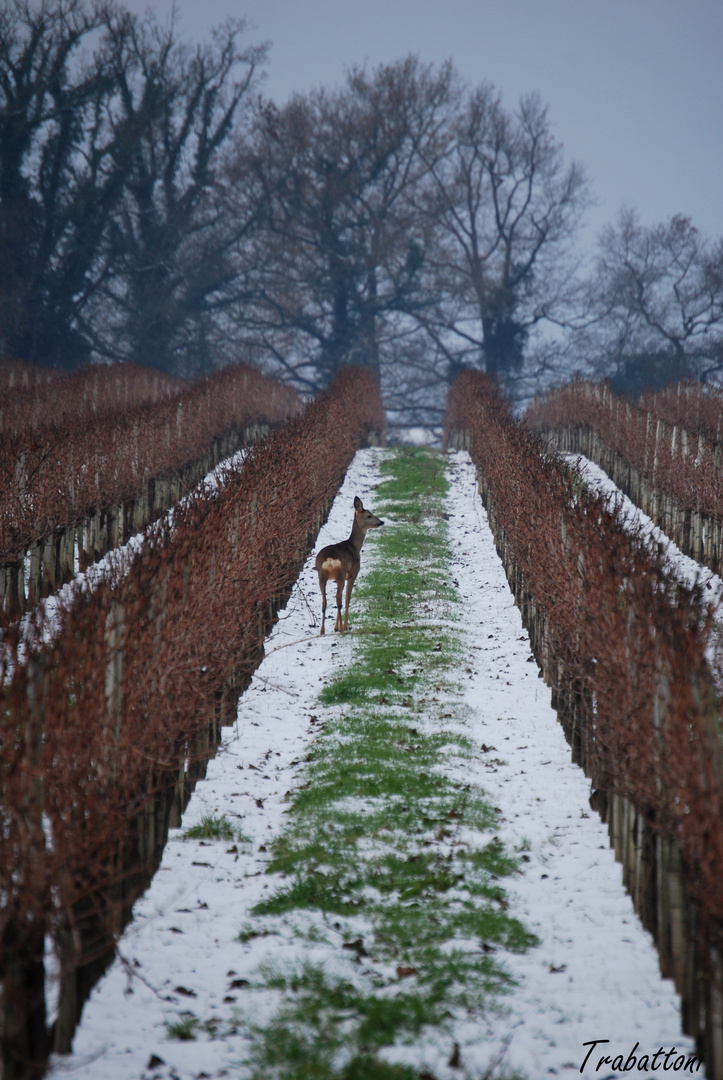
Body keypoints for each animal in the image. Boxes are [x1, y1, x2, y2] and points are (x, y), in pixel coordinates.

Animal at [315, 494, 382, 635]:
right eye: (369, 515)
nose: (381, 522)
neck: (355, 546)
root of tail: (330, 559)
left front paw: (335, 626)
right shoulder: (352, 574)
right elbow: (348, 599)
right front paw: (344, 625)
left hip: (321, 574)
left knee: (325, 600)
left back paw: (323, 630)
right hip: (340, 573)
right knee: (338, 599)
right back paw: (342, 629)